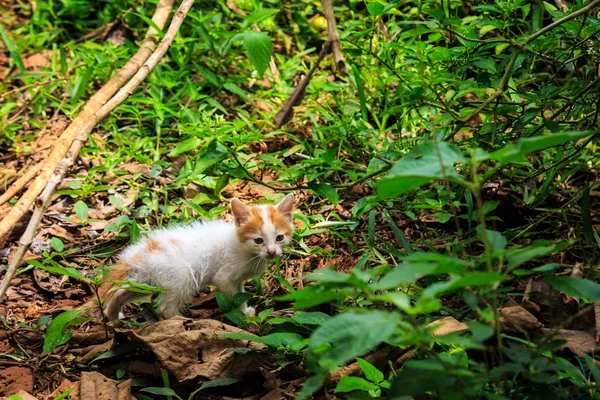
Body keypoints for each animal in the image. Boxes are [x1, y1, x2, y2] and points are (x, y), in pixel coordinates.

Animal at [93, 194, 296, 322]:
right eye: (258, 240)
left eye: (279, 238)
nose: (272, 252)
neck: (242, 247)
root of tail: (143, 251)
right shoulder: (224, 276)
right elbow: (234, 297)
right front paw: (243, 315)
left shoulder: (238, 279)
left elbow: (240, 293)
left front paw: (246, 311)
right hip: (181, 277)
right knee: (165, 307)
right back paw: (183, 322)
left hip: (147, 280)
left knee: (120, 292)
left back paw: (113, 318)